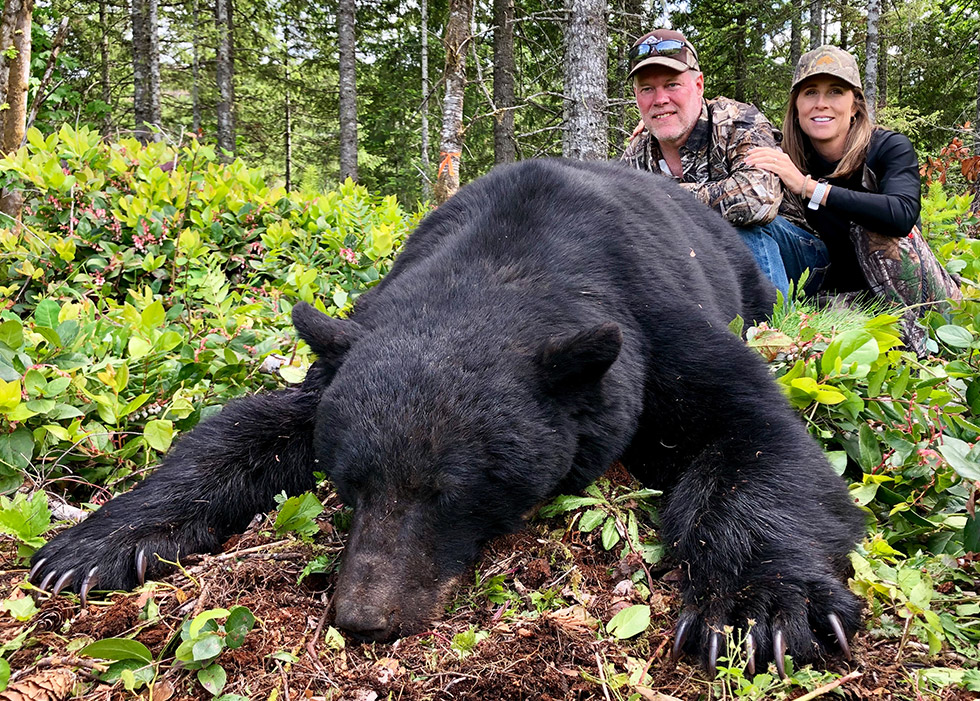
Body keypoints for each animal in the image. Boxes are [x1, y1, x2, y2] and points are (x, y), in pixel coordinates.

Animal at [30, 159, 865, 676]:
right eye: (351, 482)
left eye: (453, 491)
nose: (363, 615)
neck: (506, 258)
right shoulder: (350, 351)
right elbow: (246, 428)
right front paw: (98, 544)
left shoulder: (653, 327)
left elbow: (755, 435)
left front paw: (762, 607)